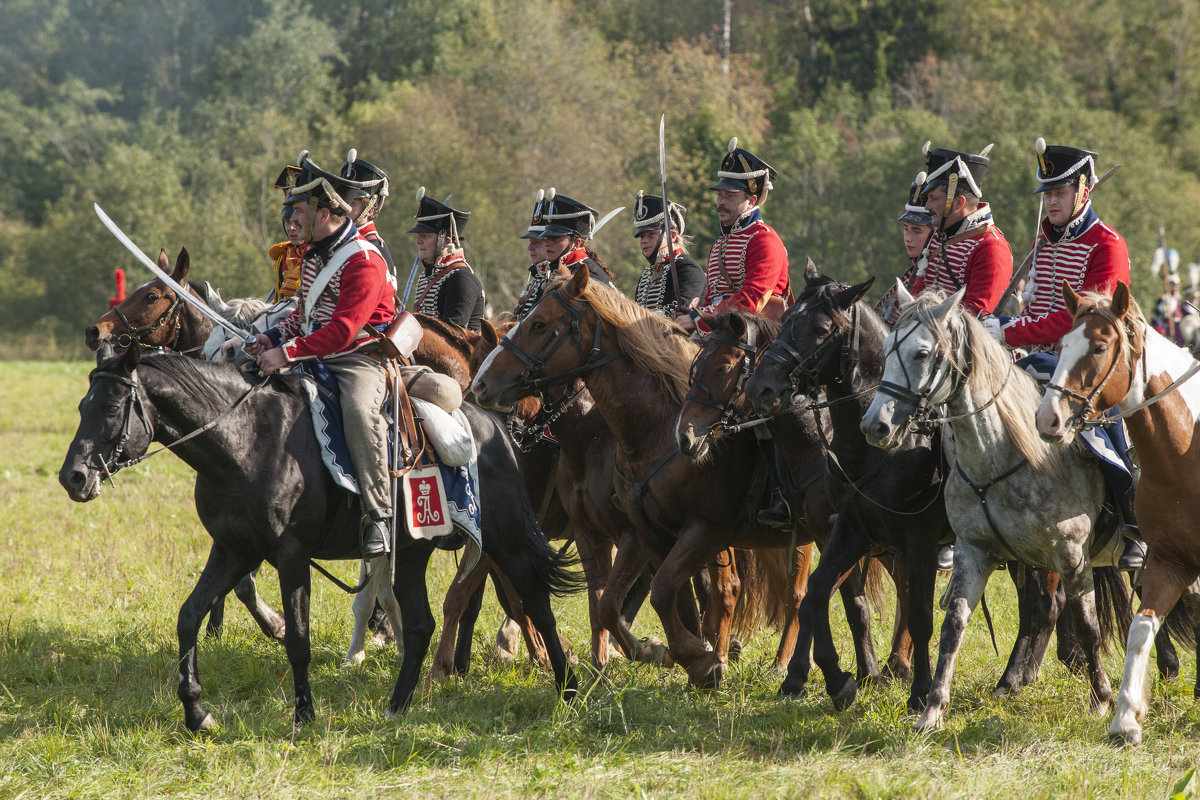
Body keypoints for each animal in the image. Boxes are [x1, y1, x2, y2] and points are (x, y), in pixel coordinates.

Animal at [60, 345, 580, 734]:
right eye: (82, 405)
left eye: (111, 407)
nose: (73, 477)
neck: (245, 440)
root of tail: (494, 427)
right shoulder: (233, 550)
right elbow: (189, 617)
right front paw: (197, 712)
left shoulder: (290, 557)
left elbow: (298, 638)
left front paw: (304, 714)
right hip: (412, 554)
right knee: (420, 625)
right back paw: (397, 706)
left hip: (507, 541)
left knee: (537, 603)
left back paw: (569, 688)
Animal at [472, 267, 820, 690]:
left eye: (539, 324)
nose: (481, 385)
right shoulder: (617, 535)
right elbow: (612, 604)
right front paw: (648, 659)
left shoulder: (669, 533)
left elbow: (654, 595)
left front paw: (678, 656)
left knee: (792, 594)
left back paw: (781, 664)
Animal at [1032, 281, 1200, 743]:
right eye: (1062, 345)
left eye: (1100, 346)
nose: (1048, 419)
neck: (1188, 449)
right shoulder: (1169, 560)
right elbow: (1140, 628)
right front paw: (1125, 717)